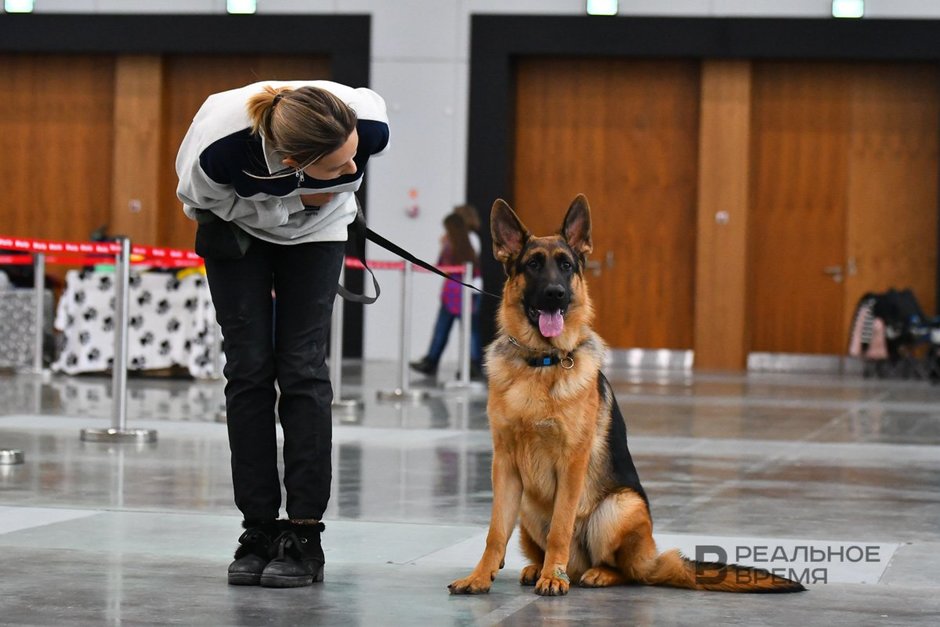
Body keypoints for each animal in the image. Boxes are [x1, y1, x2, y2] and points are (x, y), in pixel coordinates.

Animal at [450, 196, 808, 600]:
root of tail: (653, 557)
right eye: (533, 265)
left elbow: (560, 526)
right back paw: (536, 568)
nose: (556, 294)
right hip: (527, 506)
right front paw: (480, 576)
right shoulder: (505, 466)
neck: (541, 362)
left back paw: (585, 573)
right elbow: (495, 532)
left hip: (620, 506)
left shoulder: (571, 464)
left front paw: (552, 578)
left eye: (566, 265)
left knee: (627, 571)